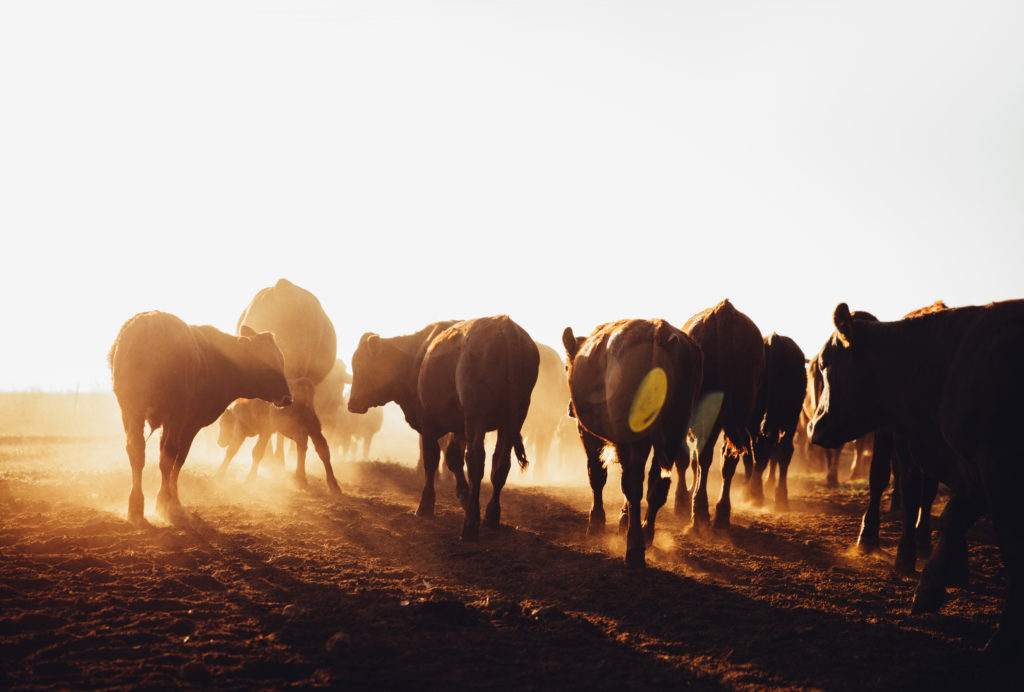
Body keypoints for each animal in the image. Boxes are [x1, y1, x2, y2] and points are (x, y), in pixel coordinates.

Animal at [109, 311, 292, 522]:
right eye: (268, 362)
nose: (288, 398)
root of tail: (152, 323)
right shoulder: (189, 423)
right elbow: (179, 458)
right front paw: (171, 499)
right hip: (172, 413)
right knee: (167, 456)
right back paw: (163, 502)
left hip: (131, 409)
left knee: (137, 450)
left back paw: (136, 506)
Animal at [350, 315, 540, 544]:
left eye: (360, 364)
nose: (351, 403)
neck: (417, 355)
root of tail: (504, 326)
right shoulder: (459, 429)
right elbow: (453, 458)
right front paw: (464, 494)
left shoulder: (429, 424)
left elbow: (431, 461)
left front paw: (426, 505)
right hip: (512, 421)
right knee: (500, 463)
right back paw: (491, 516)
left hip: (476, 416)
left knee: (476, 460)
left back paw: (470, 526)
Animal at [561, 319, 704, 569]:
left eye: (566, 367)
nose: (570, 409)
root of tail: (659, 330)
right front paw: (622, 518)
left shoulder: (588, 436)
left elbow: (597, 476)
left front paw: (596, 522)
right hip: (673, 433)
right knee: (656, 485)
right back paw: (647, 533)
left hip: (636, 437)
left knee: (633, 484)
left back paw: (634, 548)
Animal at [806, 300, 1024, 655]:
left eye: (826, 364)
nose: (813, 426)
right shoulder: (973, 469)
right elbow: (950, 516)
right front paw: (932, 584)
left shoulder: (995, 467)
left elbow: (1009, 545)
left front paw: (1005, 634)